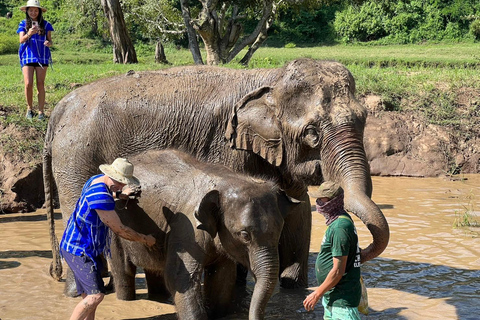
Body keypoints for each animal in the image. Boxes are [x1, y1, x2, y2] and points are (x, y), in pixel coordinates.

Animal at [43, 58, 390, 296]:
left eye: (364, 120)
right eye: (312, 133)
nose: (361, 253)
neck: (270, 78)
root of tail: (58, 109)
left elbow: (299, 210)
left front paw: (292, 287)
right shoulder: (226, 147)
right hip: (74, 158)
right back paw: (82, 291)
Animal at [110, 150, 298, 320]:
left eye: (280, 229)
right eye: (245, 235)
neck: (226, 180)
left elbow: (222, 278)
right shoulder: (186, 227)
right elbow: (181, 279)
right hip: (113, 225)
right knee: (123, 270)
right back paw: (126, 299)